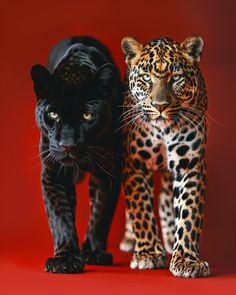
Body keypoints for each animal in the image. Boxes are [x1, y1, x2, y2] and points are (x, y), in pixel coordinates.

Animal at [121, 35, 211, 278]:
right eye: (146, 78)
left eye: (176, 78)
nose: (160, 106)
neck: (163, 130)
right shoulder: (135, 164)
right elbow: (141, 209)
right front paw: (148, 254)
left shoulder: (189, 165)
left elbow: (188, 214)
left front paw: (187, 260)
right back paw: (130, 239)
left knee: (165, 199)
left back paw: (170, 238)